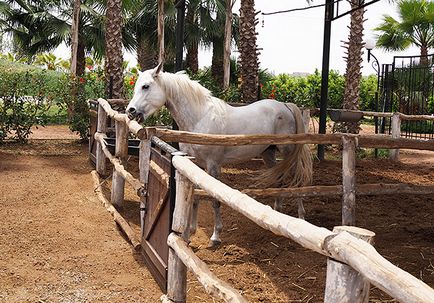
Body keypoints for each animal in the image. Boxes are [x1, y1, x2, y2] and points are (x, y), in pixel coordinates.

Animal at [125, 64, 312, 247]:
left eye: (146, 86)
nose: (130, 111)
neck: (200, 118)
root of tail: (285, 106)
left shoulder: (213, 165)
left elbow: (214, 199)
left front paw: (215, 236)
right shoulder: (195, 165)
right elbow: (194, 197)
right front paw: (190, 232)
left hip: (288, 154)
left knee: (297, 181)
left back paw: (301, 218)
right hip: (268, 154)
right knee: (280, 180)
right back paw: (277, 212)